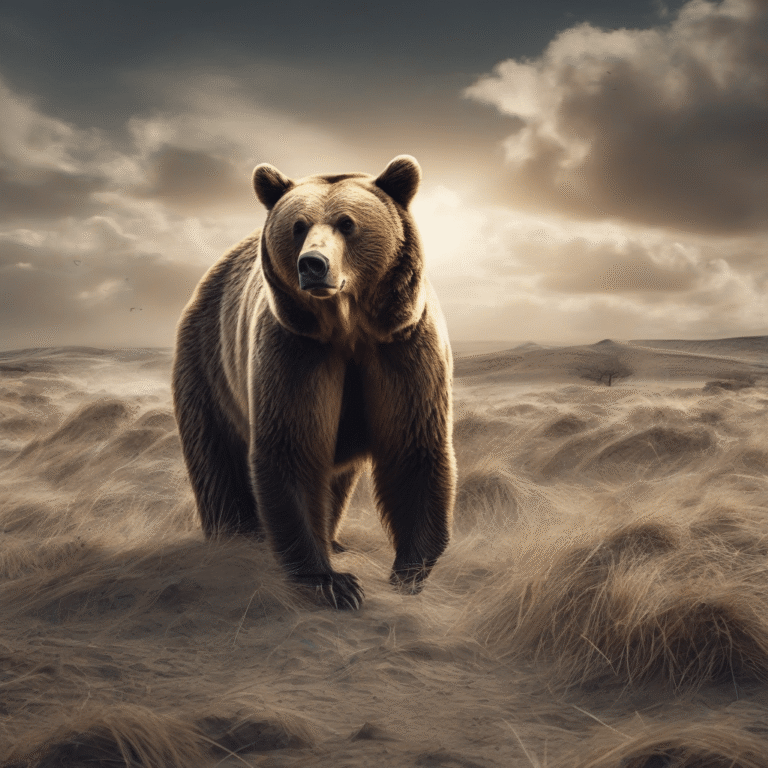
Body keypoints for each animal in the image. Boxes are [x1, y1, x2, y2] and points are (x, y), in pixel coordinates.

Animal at [172, 155, 455, 610]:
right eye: (298, 226)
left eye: (347, 223)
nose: (313, 265)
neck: (348, 326)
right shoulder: (296, 350)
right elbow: (292, 447)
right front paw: (333, 582)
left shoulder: (401, 347)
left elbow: (413, 446)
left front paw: (408, 571)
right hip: (208, 365)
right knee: (218, 462)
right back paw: (235, 540)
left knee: (335, 479)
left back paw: (332, 540)